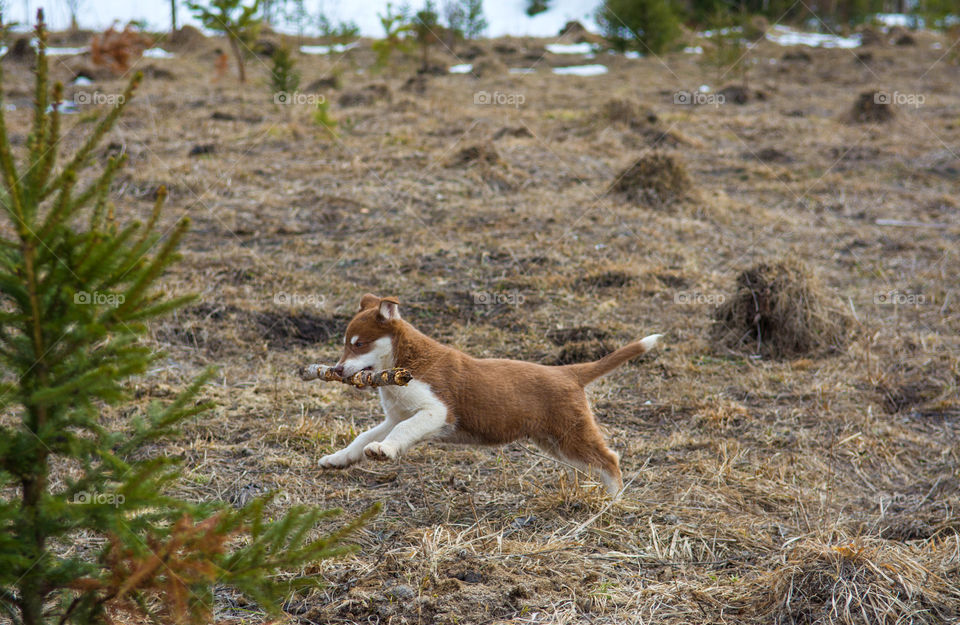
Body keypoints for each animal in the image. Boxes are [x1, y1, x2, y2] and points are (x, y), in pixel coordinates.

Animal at [320, 292, 660, 492]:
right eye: (345, 344)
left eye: (359, 344)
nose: (336, 369)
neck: (405, 360)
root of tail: (568, 372)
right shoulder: (396, 414)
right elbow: (364, 436)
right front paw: (338, 459)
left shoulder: (437, 410)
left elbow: (404, 430)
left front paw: (384, 450)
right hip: (555, 442)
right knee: (599, 461)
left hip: (571, 433)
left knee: (610, 459)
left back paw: (611, 503)